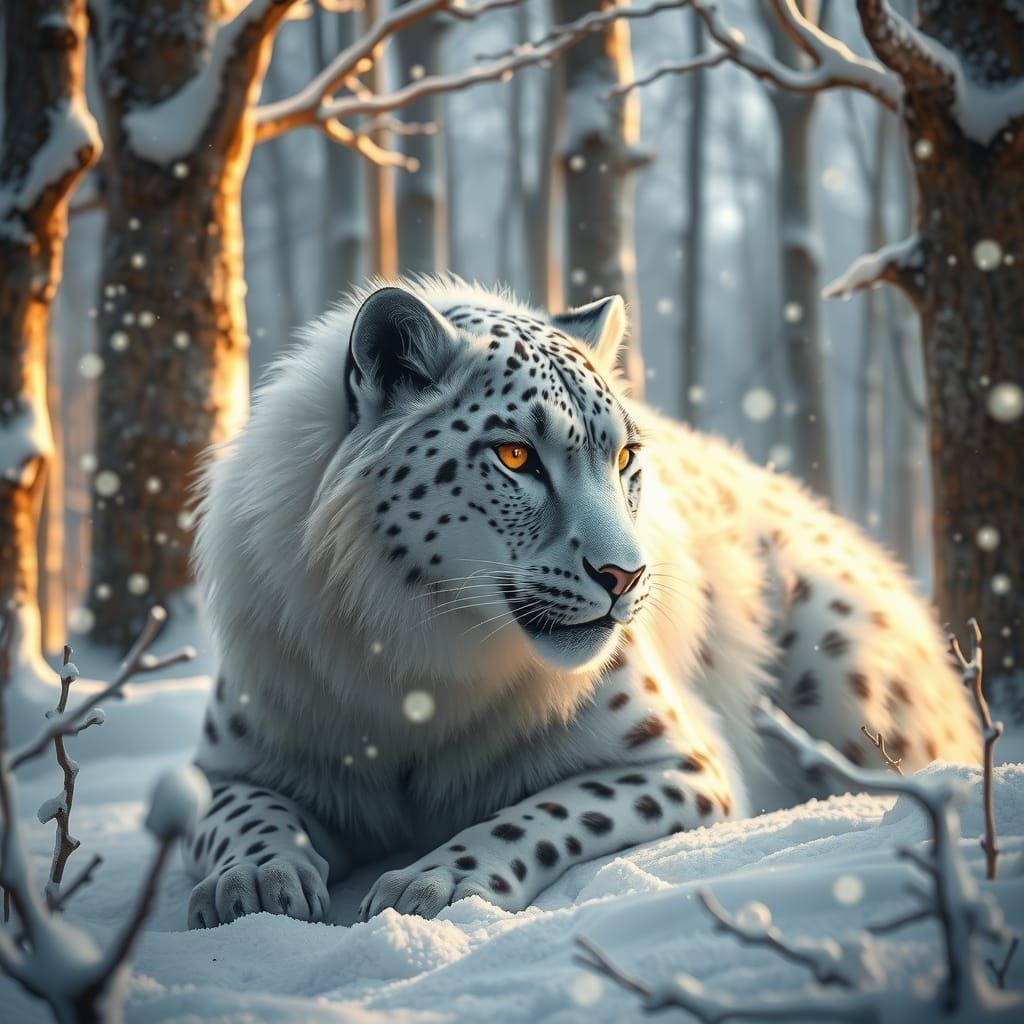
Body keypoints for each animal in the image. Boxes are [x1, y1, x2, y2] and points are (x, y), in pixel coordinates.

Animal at [183, 277, 979, 928]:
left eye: (625, 456)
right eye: (515, 455)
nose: (625, 575)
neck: (415, 668)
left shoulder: (681, 761)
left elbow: (540, 812)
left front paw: (430, 884)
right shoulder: (235, 758)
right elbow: (240, 811)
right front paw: (255, 882)